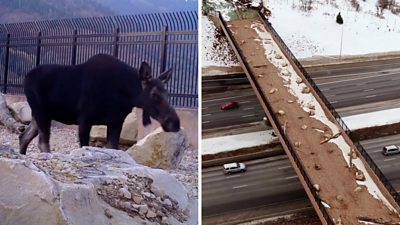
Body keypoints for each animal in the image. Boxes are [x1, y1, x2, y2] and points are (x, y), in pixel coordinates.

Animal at [18, 53, 180, 154]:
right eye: (154, 95)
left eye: (167, 94)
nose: (175, 123)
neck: (124, 94)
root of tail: (26, 78)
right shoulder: (84, 120)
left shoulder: (116, 122)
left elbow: (112, 148)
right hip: (41, 112)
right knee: (42, 143)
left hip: (41, 114)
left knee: (24, 137)